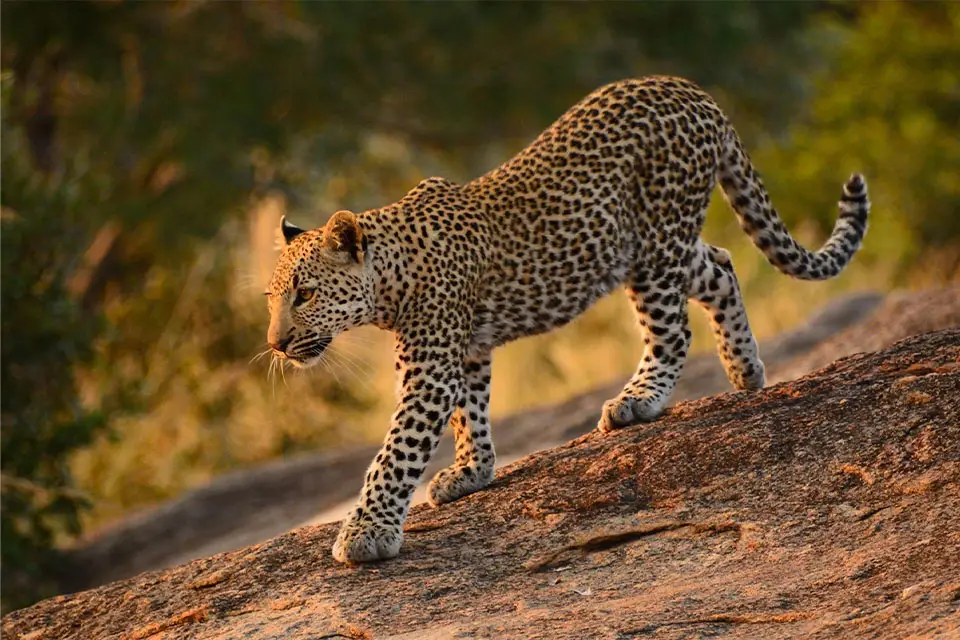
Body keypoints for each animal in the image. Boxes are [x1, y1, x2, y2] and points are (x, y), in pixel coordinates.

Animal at [265, 76, 869, 564]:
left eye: (305, 295)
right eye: (271, 300)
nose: (275, 343)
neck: (389, 276)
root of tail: (691, 90)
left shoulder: (431, 368)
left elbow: (396, 451)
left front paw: (365, 533)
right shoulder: (466, 351)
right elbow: (470, 413)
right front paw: (472, 471)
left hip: (654, 246)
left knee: (673, 331)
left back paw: (638, 401)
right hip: (656, 246)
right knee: (719, 265)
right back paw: (745, 369)